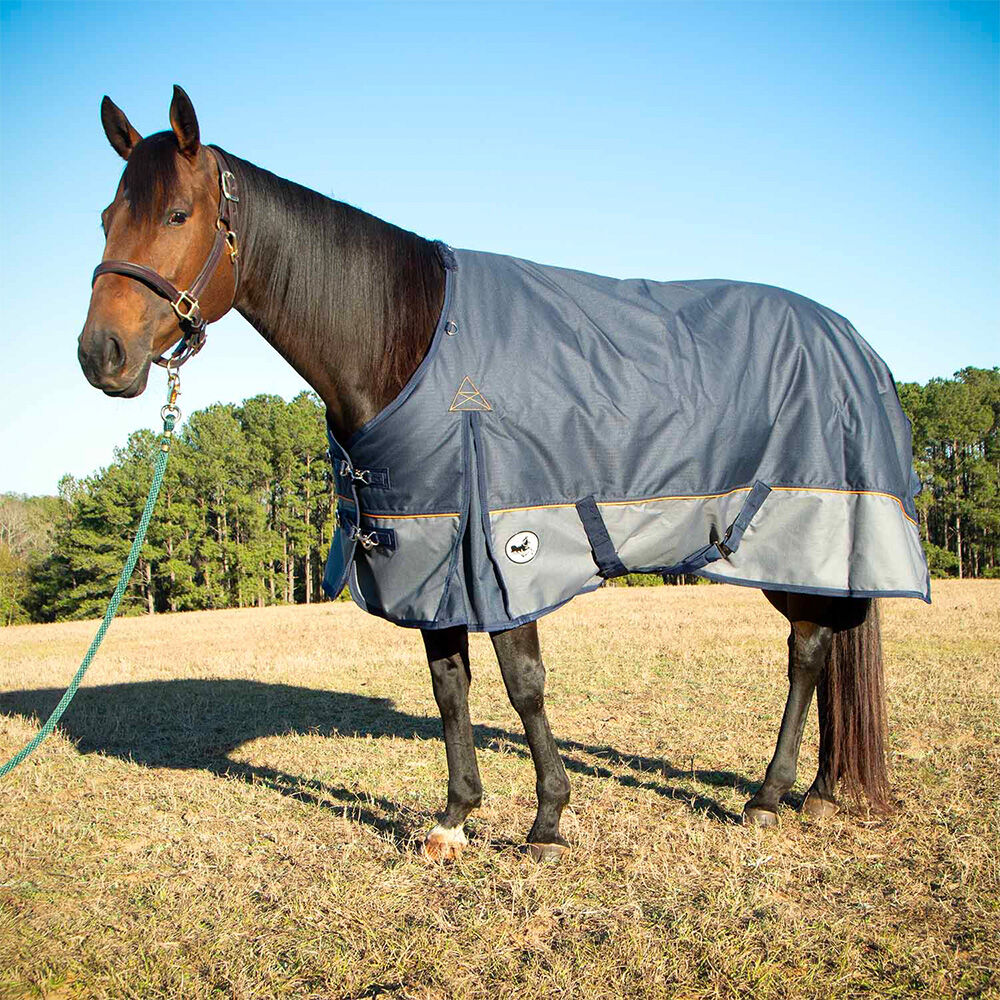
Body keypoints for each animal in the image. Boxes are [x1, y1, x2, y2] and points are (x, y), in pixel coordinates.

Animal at [79, 86, 908, 861]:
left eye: (178, 214)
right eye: (105, 216)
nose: (101, 355)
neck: (409, 340)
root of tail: (856, 344)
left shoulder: (508, 551)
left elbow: (524, 685)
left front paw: (546, 823)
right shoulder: (428, 556)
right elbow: (451, 688)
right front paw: (454, 818)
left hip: (794, 538)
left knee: (807, 651)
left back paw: (771, 796)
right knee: (823, 645)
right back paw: (817, 790)